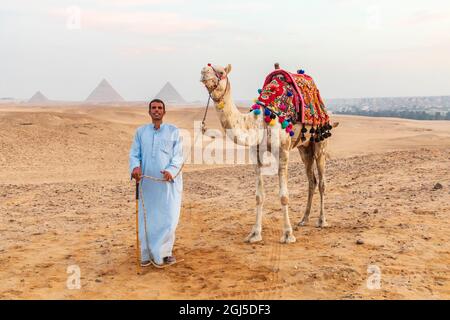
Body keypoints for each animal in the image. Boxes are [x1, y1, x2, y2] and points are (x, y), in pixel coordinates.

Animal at [200, 63, 338, 242]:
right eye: (207, 67)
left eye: (221, 71)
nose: (204, 71)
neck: (260, 120)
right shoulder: (256, 154)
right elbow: (259, 196)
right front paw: (255, 234)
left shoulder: (283, 151)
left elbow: (284, 196)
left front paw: (288, 235)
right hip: (304, 148)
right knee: (311, 181)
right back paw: (304, 219)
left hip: (320, 142)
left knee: (321, 182)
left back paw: (321, 221)